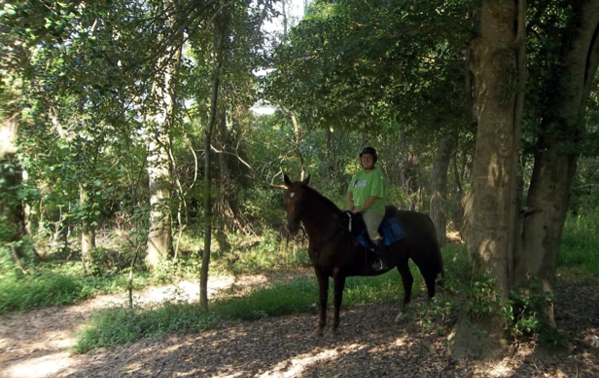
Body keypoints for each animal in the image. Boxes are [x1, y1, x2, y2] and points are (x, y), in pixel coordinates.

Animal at [282, 173, 446, 336]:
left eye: (303, 197)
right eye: (287, 196)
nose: (291, 227)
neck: (330, 233)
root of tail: (424, 218)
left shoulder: (339, 272)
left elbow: (336, 299)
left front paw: (334, 328)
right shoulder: (319, 271)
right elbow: (323, 298)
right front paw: (319, 328)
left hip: (422, 257)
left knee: (429, 278)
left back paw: (430, 312)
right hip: (402, 260)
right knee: (408, 281)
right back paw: (402, 314)